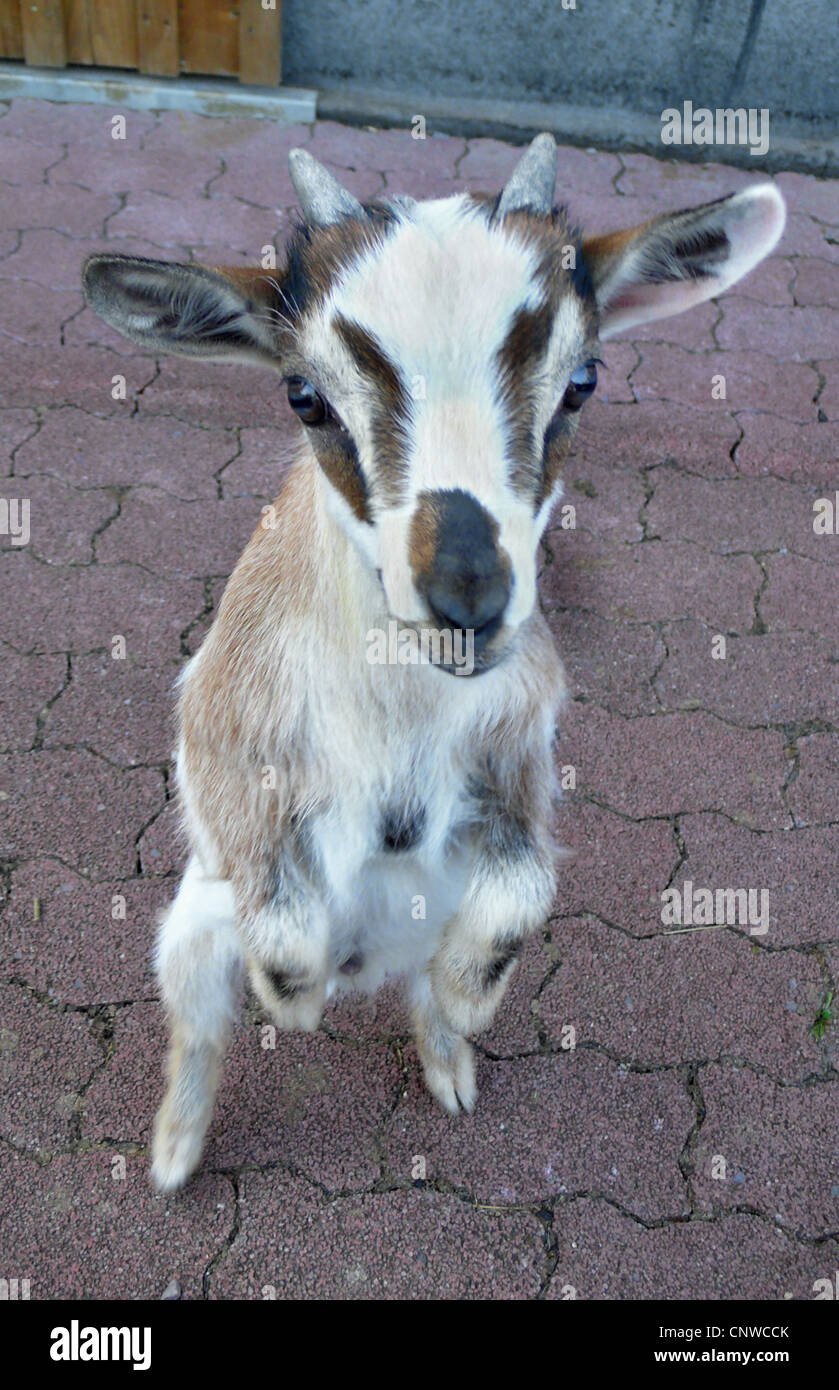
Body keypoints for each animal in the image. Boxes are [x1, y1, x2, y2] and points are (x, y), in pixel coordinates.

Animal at [82, 133, 786, 1191]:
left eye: (582, 381)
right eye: (303, 395)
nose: (467, 602)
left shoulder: (523, 739)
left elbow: (522, 892)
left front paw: (467, 1001)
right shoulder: (219, 721)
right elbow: (272, 915)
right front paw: (295, 998)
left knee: (422, 976)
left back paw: (448, 1059)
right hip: (193, 928)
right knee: (199, 1024)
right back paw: (174, 1151)